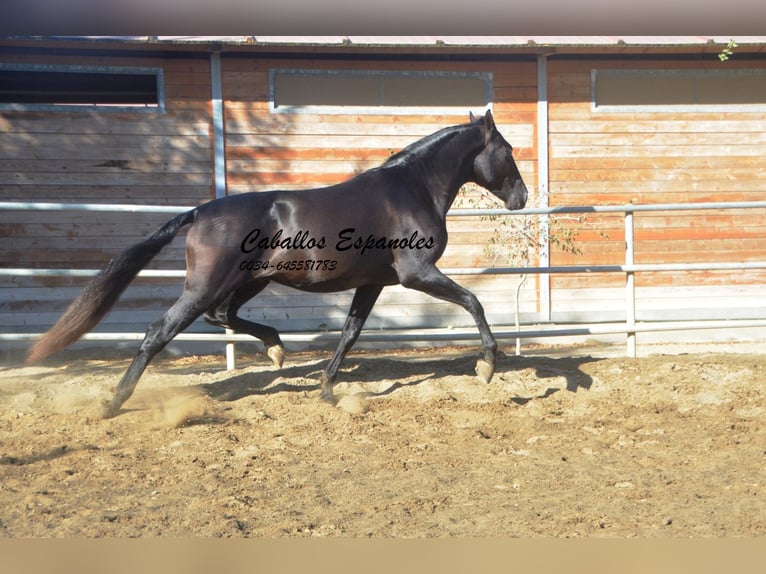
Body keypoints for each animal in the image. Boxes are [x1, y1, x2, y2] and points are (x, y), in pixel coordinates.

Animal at [28, 111, 528, 418]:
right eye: (508, 151)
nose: (522, 198)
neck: (411, 189)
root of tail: (199, 213)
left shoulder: (373, 283)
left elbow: (350, 334)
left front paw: (327, 390)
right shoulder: (416, 274)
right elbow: (474, 302)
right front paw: (487, 366)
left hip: (248, 282)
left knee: (221, 316)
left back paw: (275, 348)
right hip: (207, 285)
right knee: (159, 332)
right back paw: (114, 403)